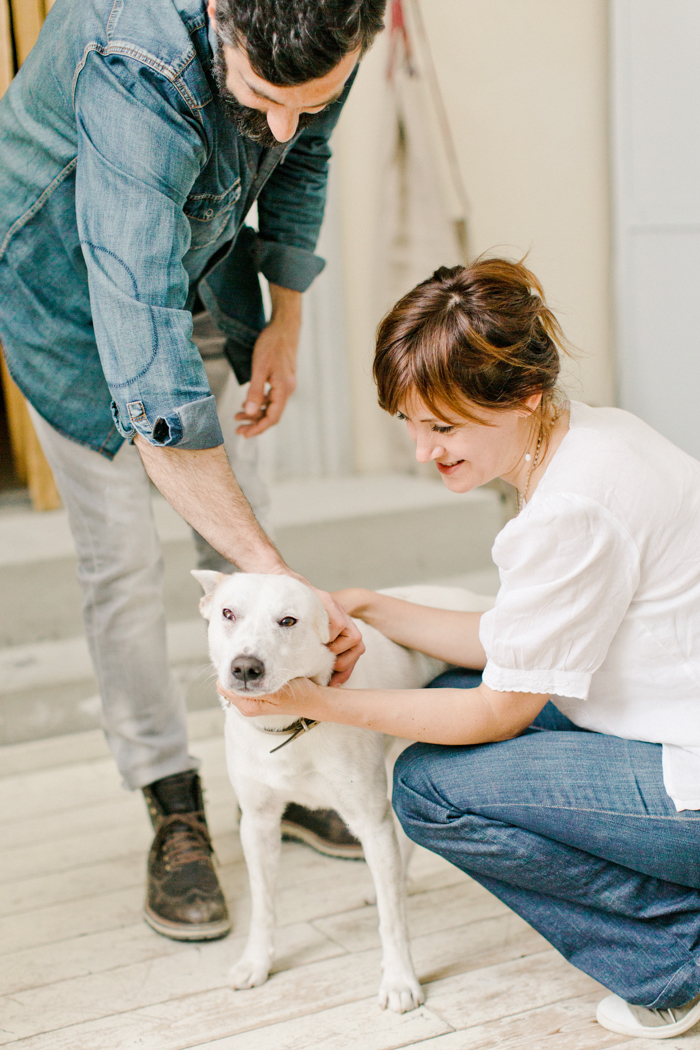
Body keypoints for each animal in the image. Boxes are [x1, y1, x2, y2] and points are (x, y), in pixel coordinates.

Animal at [194, 571, 495, 1012]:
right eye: (228, 613)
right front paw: (256, 962)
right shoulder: (258, 823)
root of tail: (475, 602)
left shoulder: (369, 821)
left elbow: (392, 922)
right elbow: (263, 905)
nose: (245, 667)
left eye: (288, 621)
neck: (289, 728)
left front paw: (400, 980)